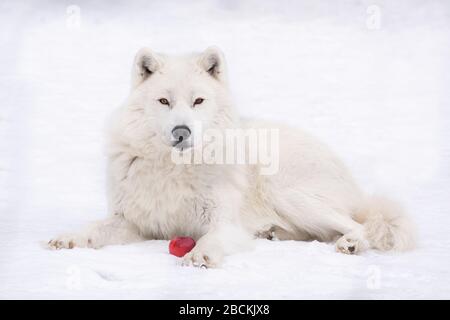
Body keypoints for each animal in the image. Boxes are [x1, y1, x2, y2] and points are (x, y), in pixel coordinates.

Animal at [48, 46, 414, 266]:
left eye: (198, 101)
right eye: (164, 101)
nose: (181, 132)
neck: (174, 170)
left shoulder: (223, 222)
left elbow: (211, 238)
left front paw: (200, 256)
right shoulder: (134, 222)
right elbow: (93, 228)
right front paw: (68, 238)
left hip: (288, 193)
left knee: (363, 225)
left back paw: (351, 243)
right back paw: (275, 233)